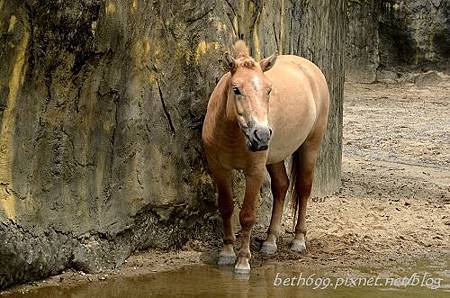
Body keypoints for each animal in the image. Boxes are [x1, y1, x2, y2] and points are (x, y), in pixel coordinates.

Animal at [202, 40, 328, 274]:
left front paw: (243, 261)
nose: (261, 135)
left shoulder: (255, 172)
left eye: (268, 90)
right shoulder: (219, 170)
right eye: (236, 89)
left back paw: (298, 240)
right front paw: (226, 252)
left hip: (310, 147)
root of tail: (310, 68)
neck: (233, 135)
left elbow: (247, 216)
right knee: (281, 186)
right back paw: (270, 242)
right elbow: (226, 207)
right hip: (276, 157)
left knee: (304, 189)